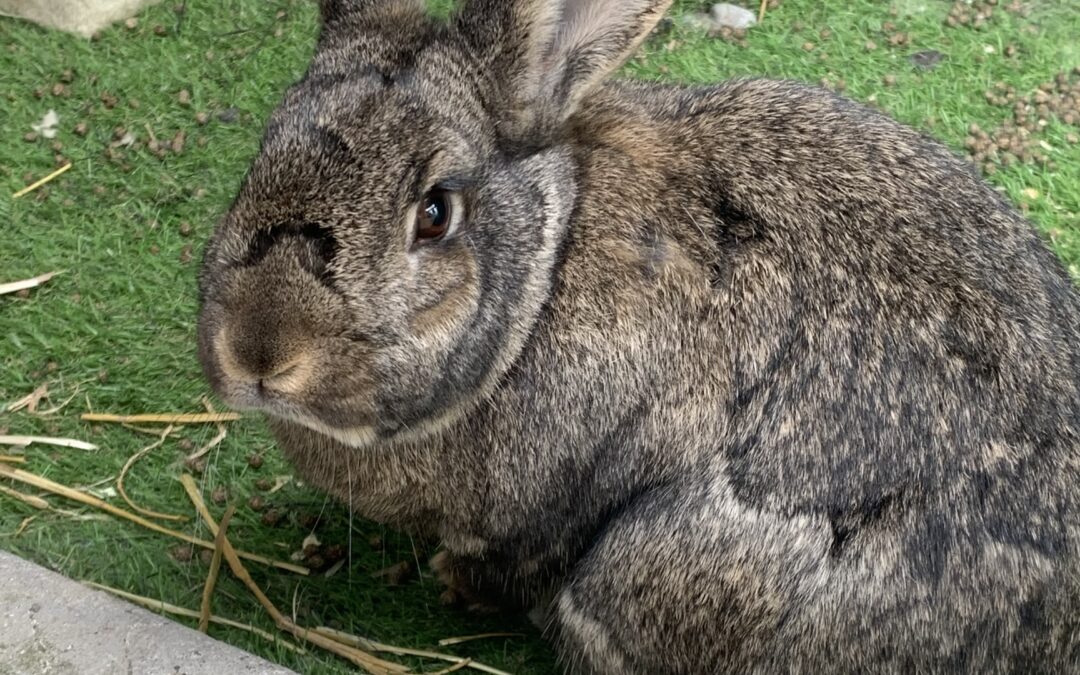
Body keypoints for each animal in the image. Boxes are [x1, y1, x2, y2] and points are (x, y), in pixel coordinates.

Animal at [196, 0, 1080, 669]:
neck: (546, 273)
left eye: (436, 212)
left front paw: (455, 581)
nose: (260, 354)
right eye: (260, 159)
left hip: (645, 576)